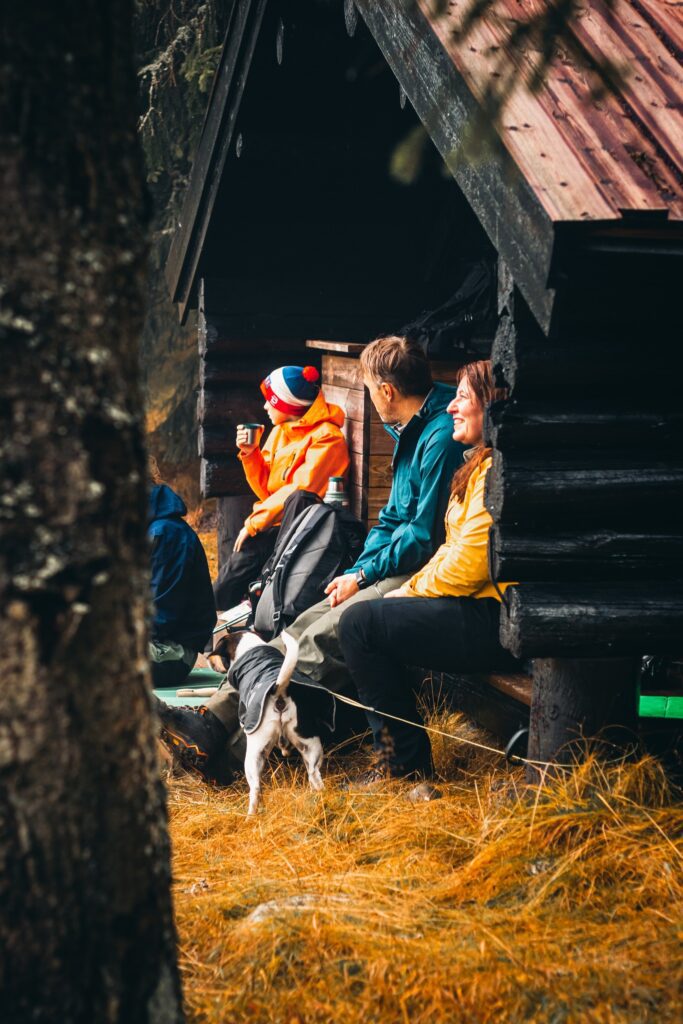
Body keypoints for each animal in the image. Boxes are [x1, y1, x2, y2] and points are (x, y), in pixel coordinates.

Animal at [214, 626, 331, 811]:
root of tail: (279, 690)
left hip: (254, 756)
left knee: (255, 789)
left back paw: (252, 814)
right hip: (310, 746)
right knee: (315, 776)